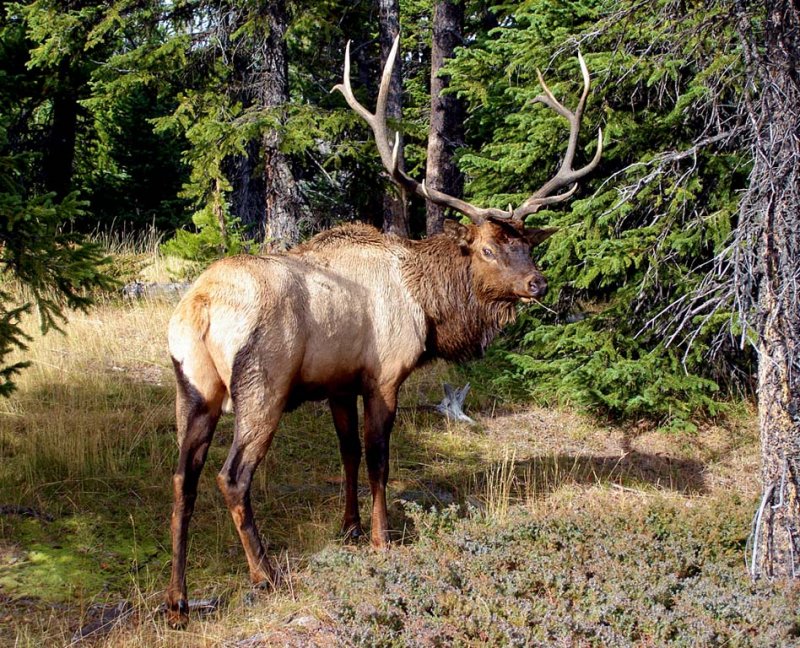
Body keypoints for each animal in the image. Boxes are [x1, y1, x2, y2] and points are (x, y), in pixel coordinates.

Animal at [166, 36, 604, 628]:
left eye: (525, 244)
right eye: (487, 249)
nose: (537, 283)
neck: (429, 305)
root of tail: (200, 306)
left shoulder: (337, 382)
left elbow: (348, 453)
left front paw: (348, 527)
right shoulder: (384, 376)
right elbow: (379, 460)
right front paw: (380, 537)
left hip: (193, 387)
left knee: (181, 477)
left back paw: (178, 600)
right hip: (263, 385)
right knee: (231, 476)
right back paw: (265, 575)